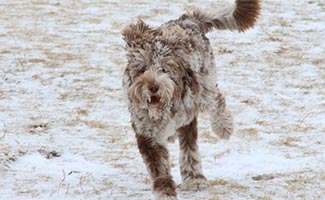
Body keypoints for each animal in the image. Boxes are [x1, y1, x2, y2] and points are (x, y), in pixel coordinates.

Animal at [123, 0, 260, 199]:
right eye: (142, 69)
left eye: (164, 68)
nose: (153, 86)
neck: (163, 110)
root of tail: (188, 19)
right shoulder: (147, 132)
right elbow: (159, 168)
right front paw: (165, 192)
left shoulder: (187, 116)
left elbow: (189, 150)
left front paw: (195, 179)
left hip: (204, 85)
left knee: (217, 99)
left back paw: (224, 126)